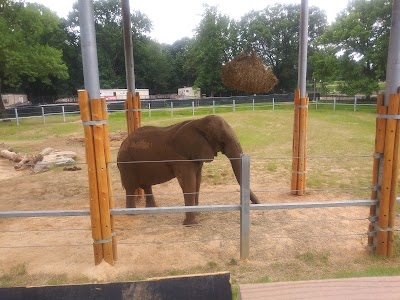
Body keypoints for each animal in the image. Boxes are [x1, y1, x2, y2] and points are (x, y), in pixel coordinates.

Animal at [116, 115, 260, 225]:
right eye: (222, 141)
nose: (256, 204)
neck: (199, 122)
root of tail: (123, 142)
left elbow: (197, 181)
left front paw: (198, 214)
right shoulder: (180, 157)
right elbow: (188, 182)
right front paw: (191, 224)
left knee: (146, 185)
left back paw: (152, 210)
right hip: (127, 163)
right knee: (130, 187)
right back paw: (132, 214)